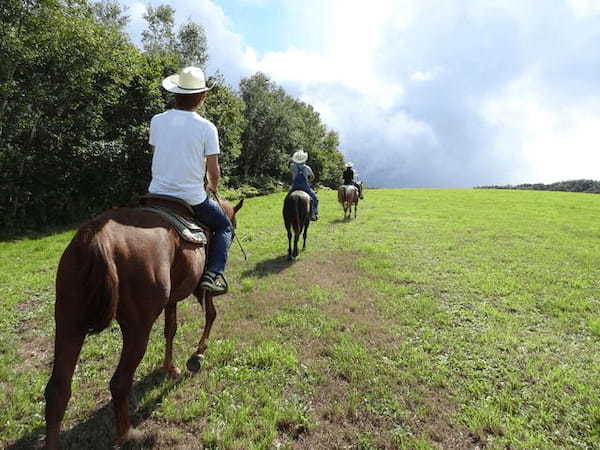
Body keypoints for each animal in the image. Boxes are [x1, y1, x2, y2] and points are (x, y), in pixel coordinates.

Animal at [42, 198, 245, 450]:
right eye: (232, 227)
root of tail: (96, 237)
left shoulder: (172, 300)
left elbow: (170, 330)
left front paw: (170, 367)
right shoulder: (201, 288)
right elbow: (210, 315)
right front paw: (197, 355)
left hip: (68, 321)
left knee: (57, 390)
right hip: (138, 328)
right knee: (119, 383)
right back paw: (128, 434)